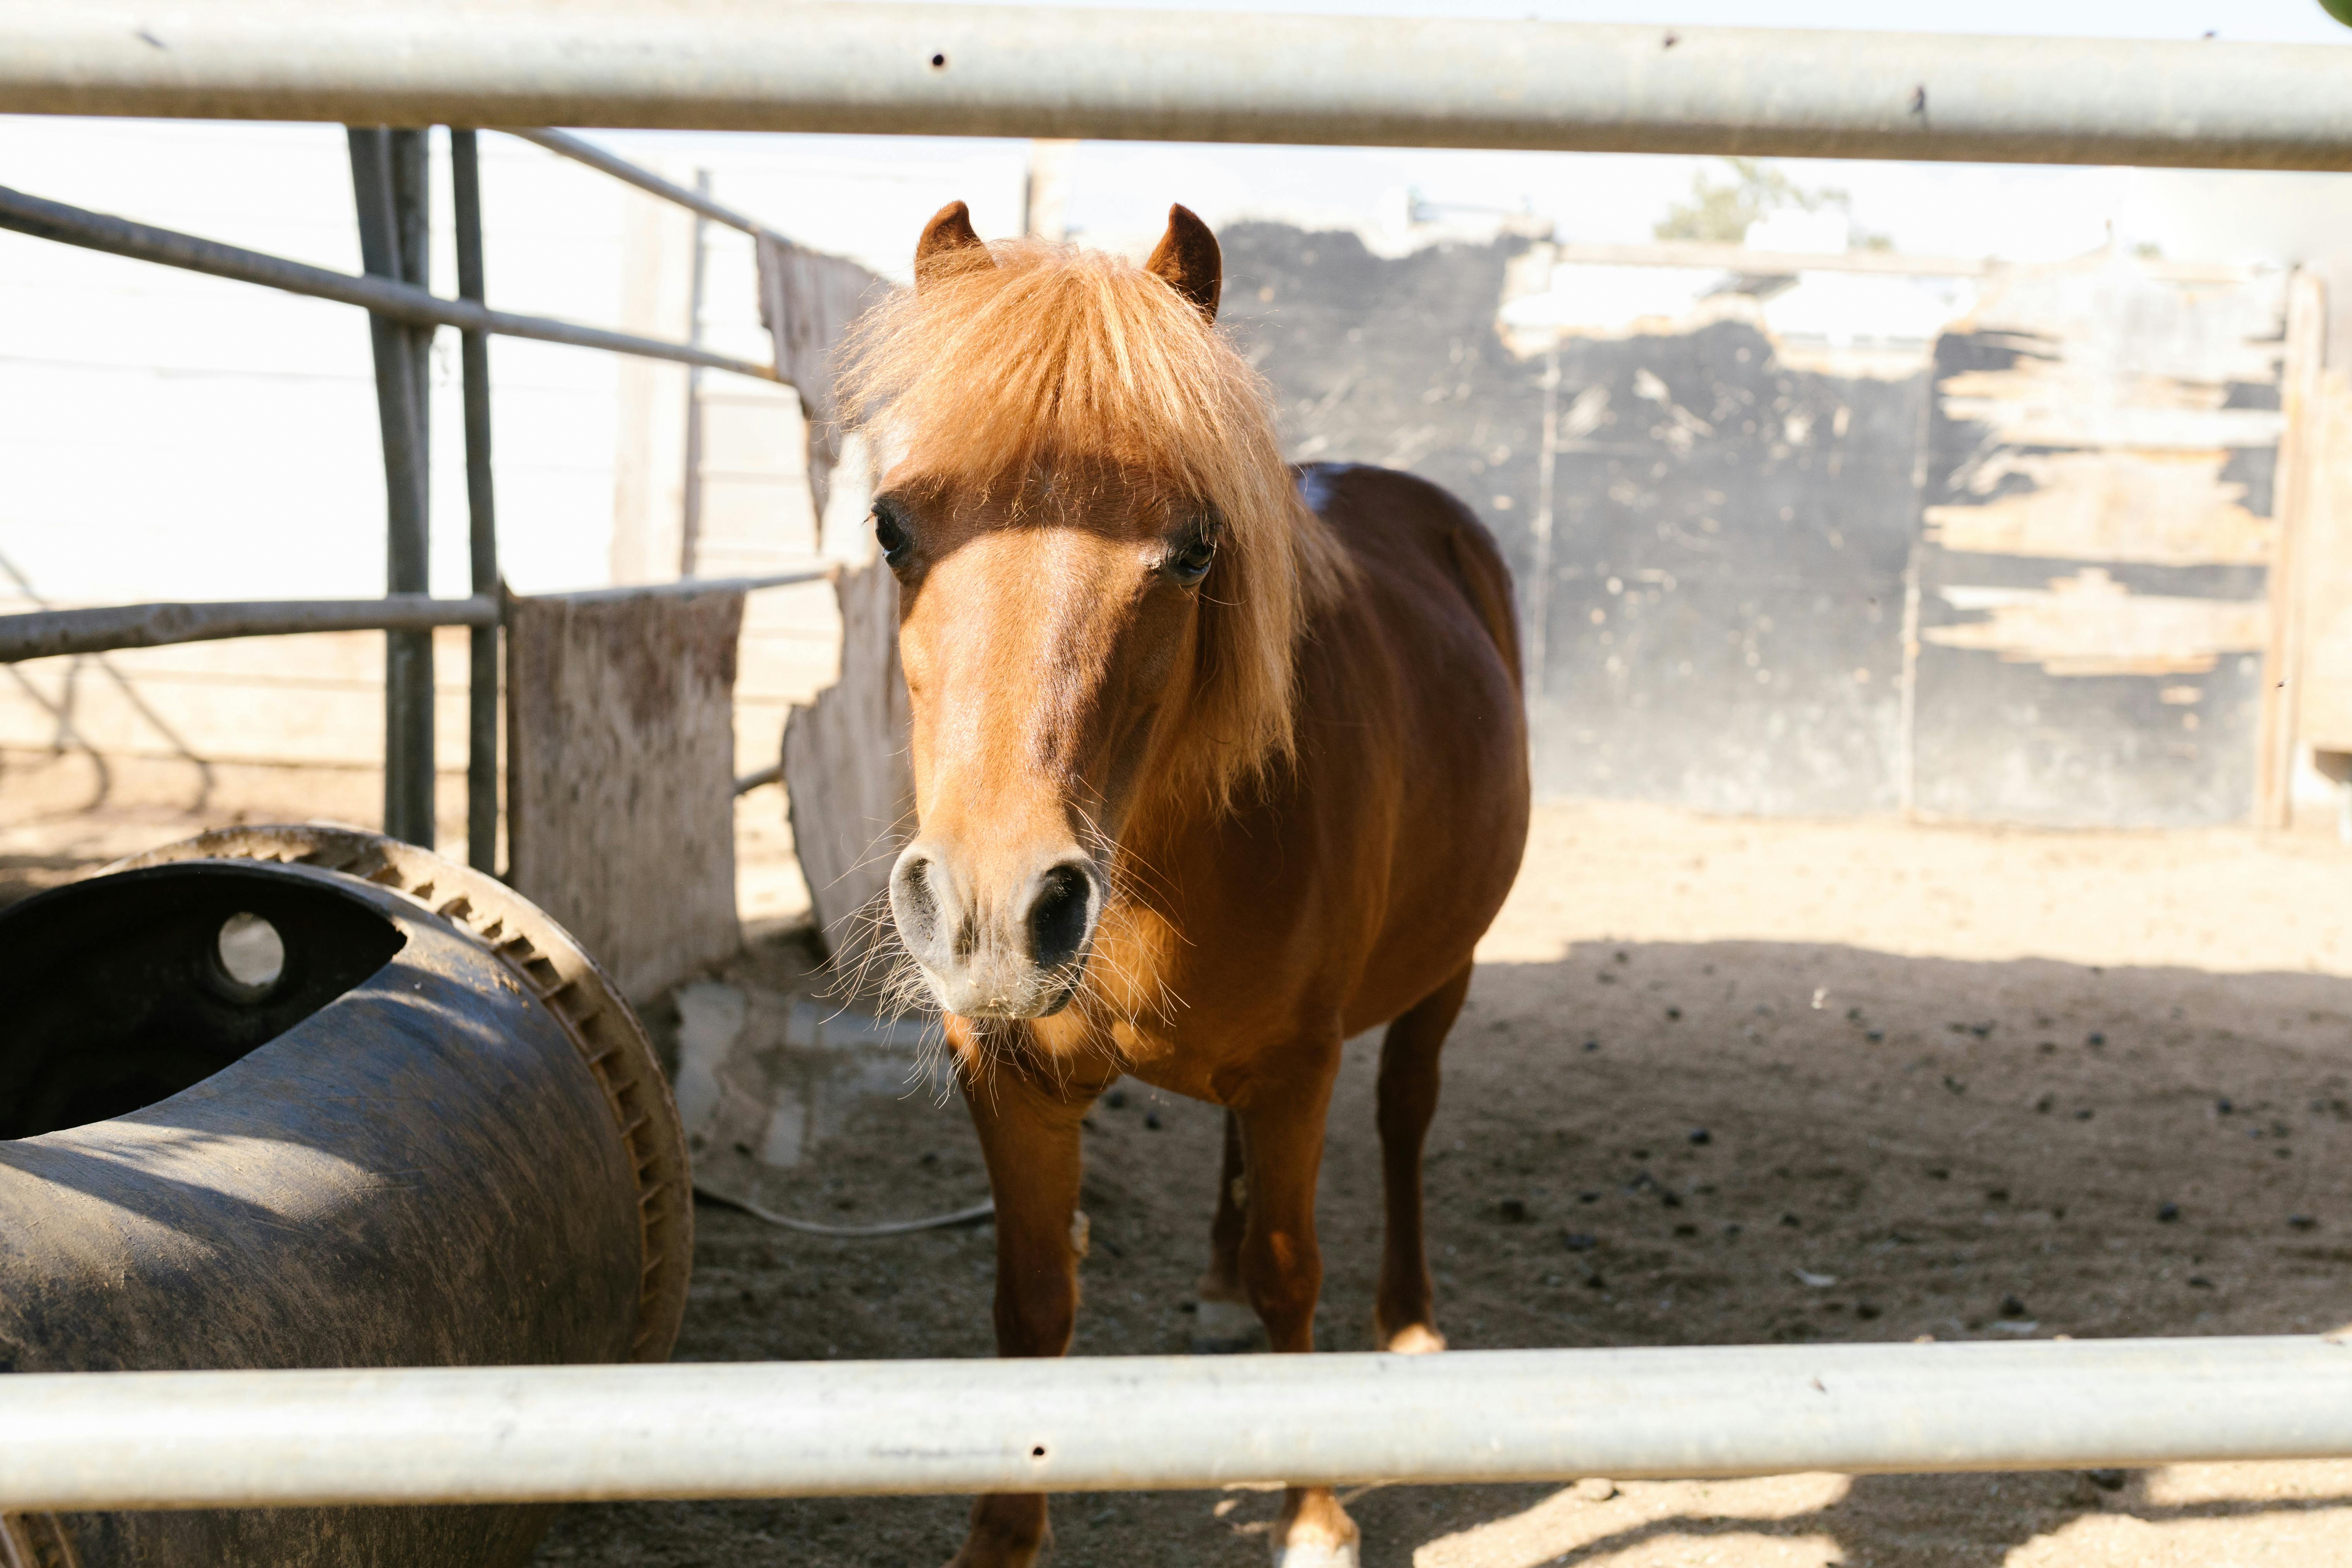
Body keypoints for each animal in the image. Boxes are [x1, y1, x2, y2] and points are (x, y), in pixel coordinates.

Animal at [842, 202, 1524, 1561]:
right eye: (892, 527)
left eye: (1196, 546)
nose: (998, 911)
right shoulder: (1008, 1072)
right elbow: (1033, 1299)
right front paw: (1002, 1535)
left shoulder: (1300, 1067)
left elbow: (1290, 1270)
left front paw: (1312, 1516)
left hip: (1443, 972)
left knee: (1405, 1114)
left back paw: (1410, 1321)